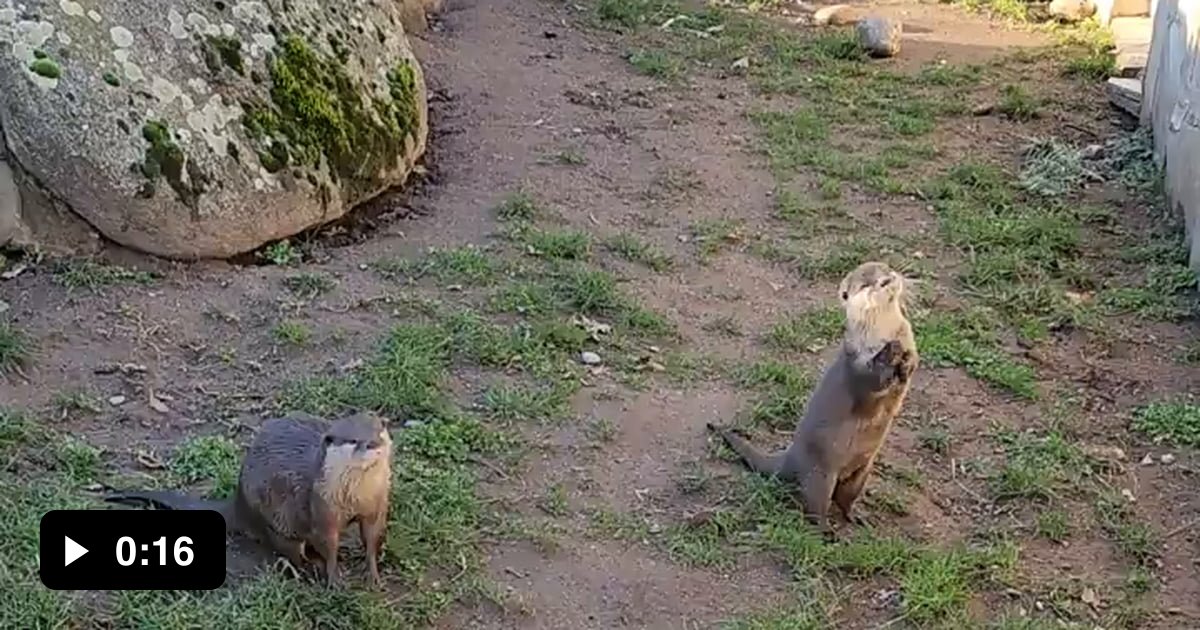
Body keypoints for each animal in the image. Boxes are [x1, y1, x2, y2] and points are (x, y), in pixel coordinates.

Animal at [105, 411, 394, 588]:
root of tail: (239, 501)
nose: (374, 444)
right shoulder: (321, 509)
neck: (355, 496)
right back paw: (308, 568)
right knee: (288, 549)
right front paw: (334, 580)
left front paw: (373, 575)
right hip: (274, 518)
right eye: (354, 440)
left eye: (378, 431)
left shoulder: (377, 505)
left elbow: (372, 538)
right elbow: (328, 544)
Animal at [707, 261, 918, 538]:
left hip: (861, 473)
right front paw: (889, 355)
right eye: (866, 283)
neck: (881, 332)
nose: (887, 280)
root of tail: (791, 457)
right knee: (815, 505)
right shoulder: (856, 361)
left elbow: (912, 365)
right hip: (819, 474)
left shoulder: (907, 336)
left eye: (887, 270)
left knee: (845, 499)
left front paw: (906, 362)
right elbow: (871, 379)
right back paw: (826, 531)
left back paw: (857, 518)